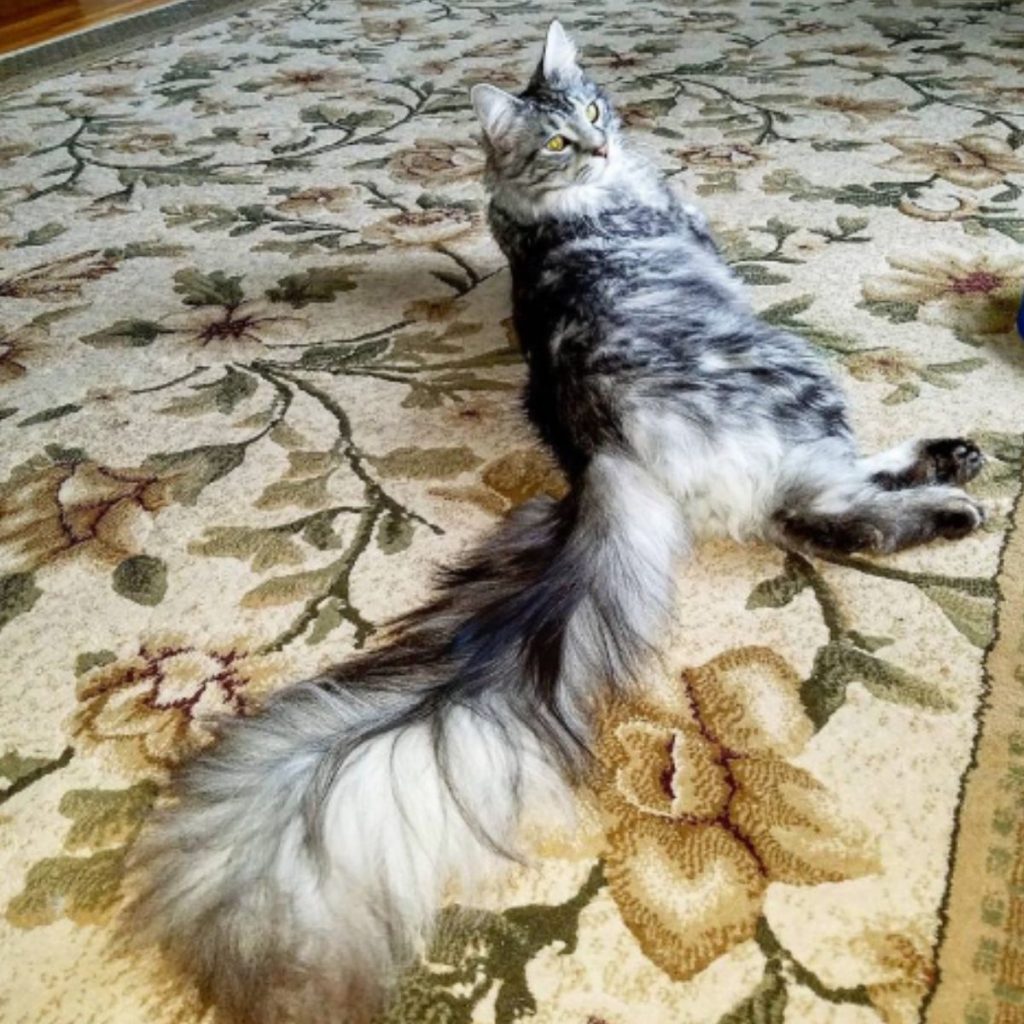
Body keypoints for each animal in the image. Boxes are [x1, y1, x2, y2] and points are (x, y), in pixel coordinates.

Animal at [123, 22, 987, 1024]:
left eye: (594, 110)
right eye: (560, 140)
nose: (603, 145)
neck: (571, 201)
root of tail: (603, 445)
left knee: (822, 517)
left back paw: (952, 463)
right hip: (798, 372)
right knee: (833, 509)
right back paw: (951, 496)